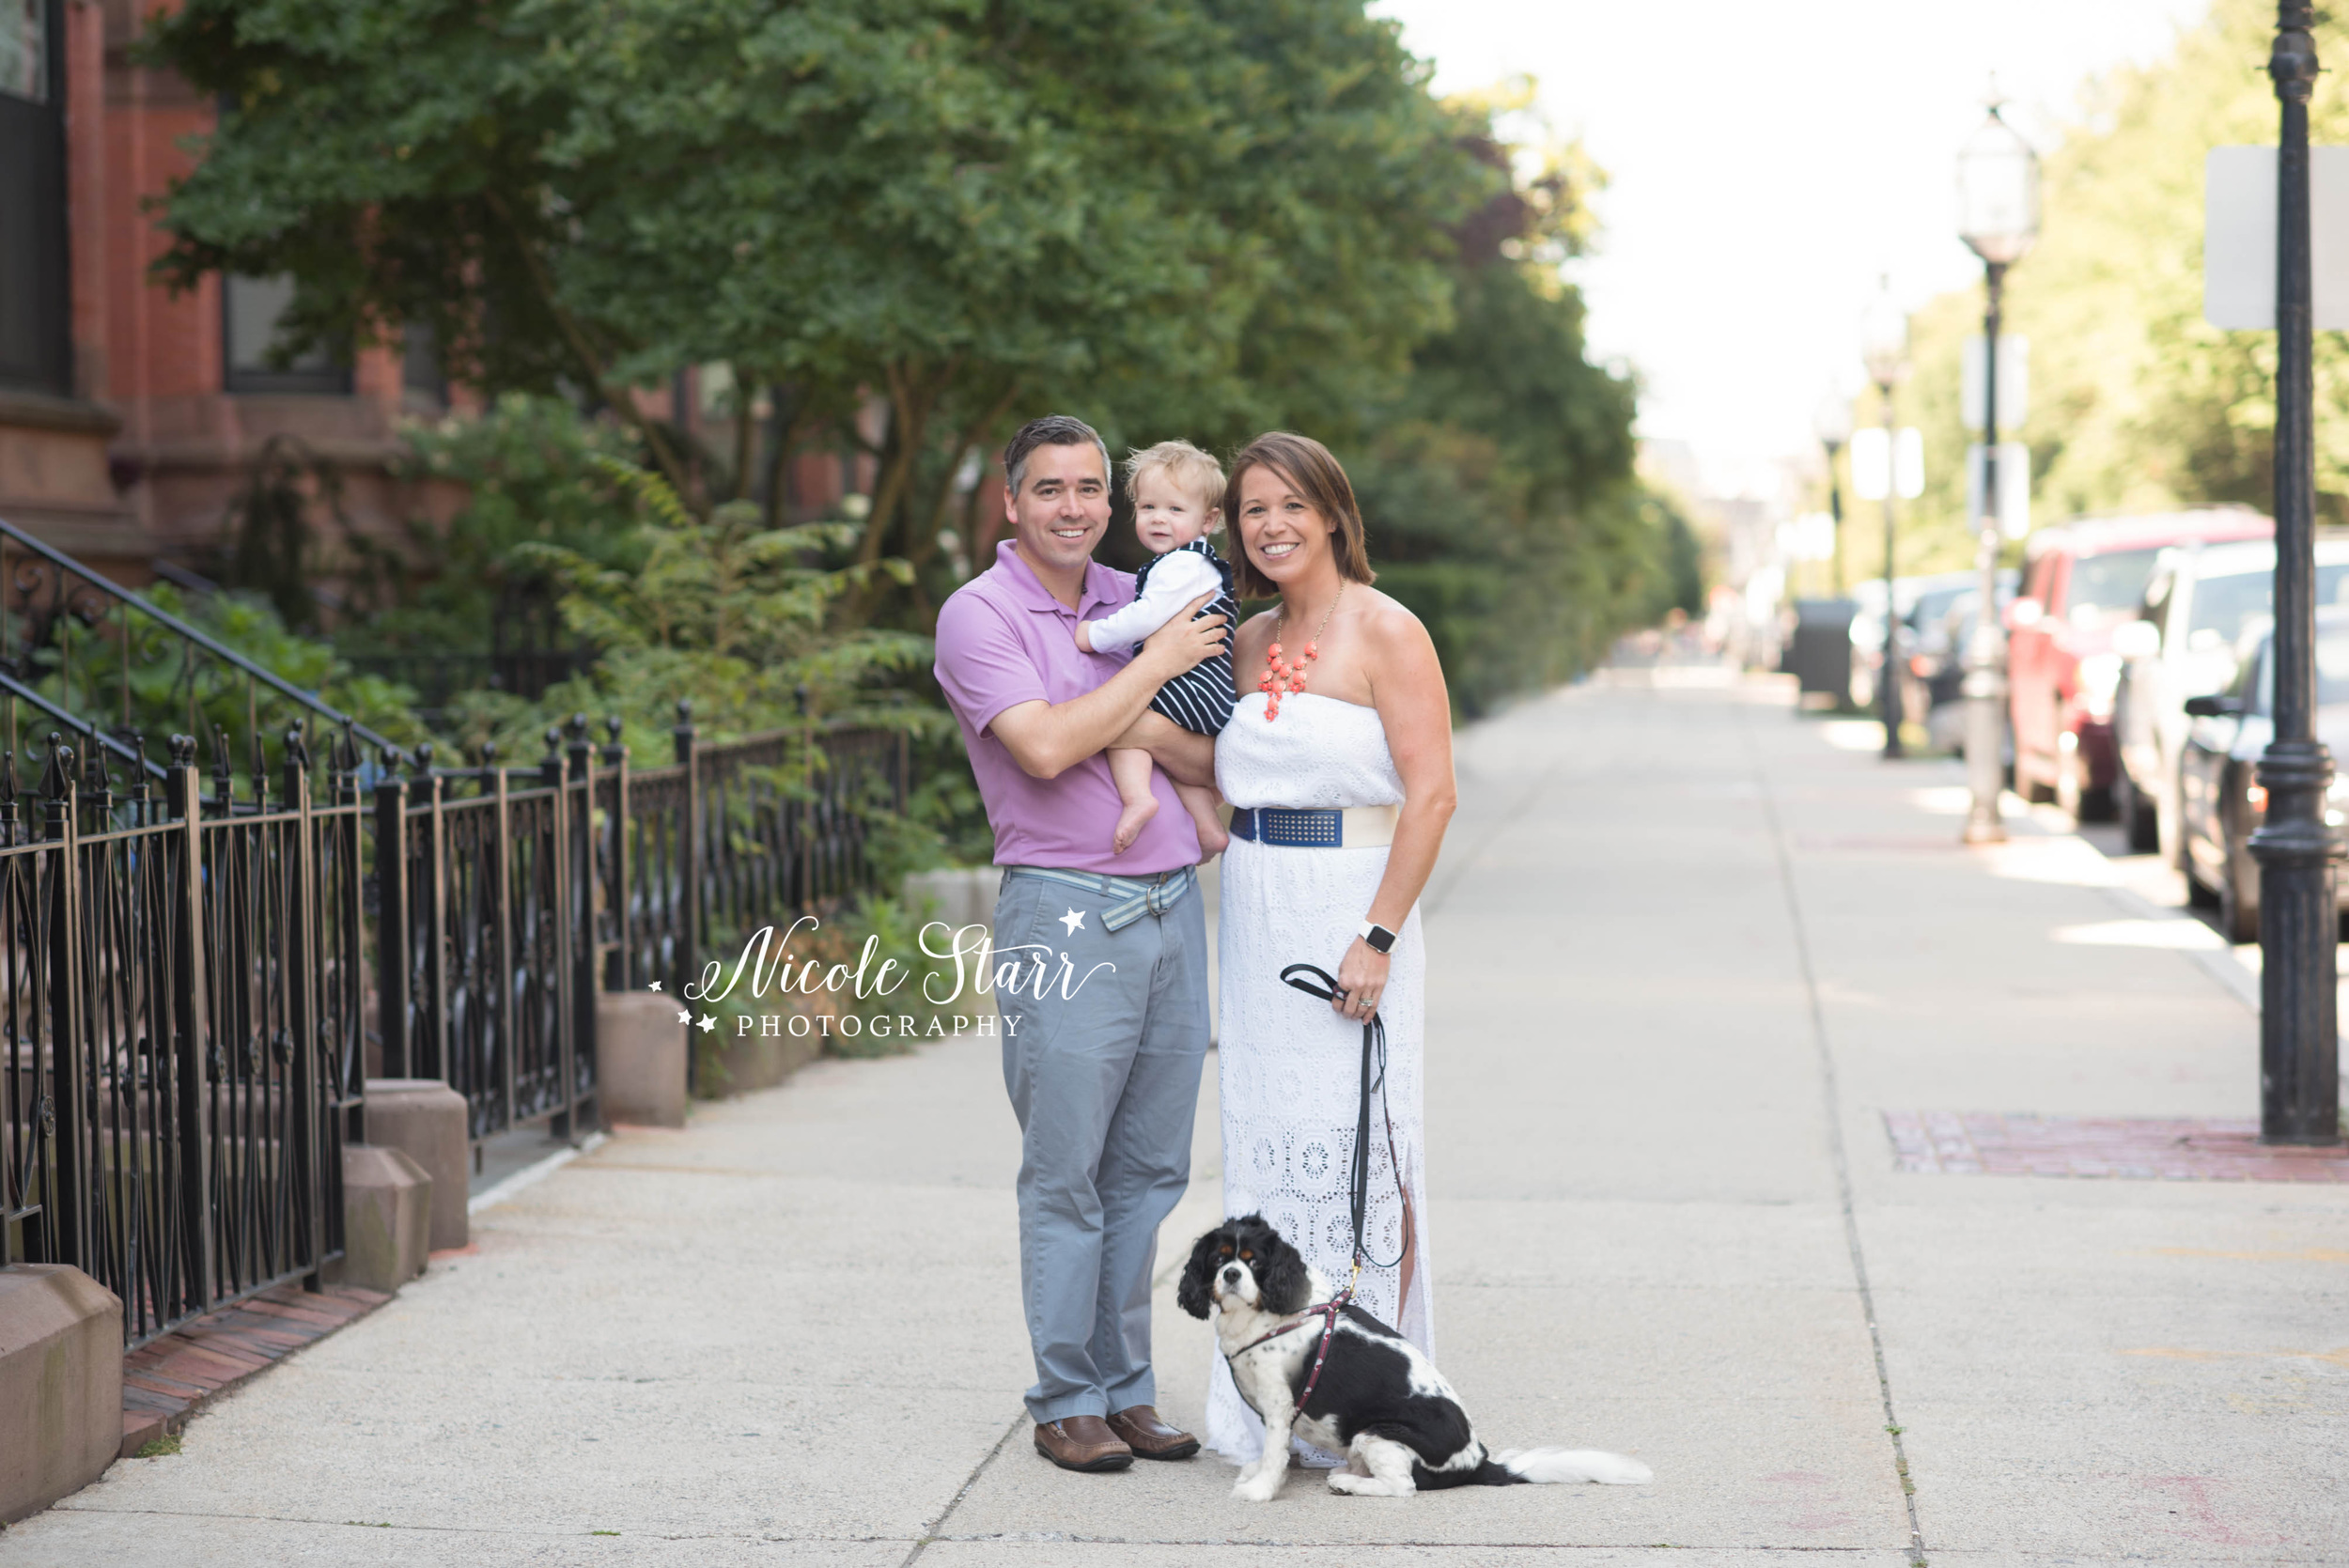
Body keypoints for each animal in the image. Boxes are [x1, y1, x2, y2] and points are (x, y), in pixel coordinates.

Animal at [1174, 1220, 1654, 1502]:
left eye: (1253, 1262)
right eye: (1218, 1258)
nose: (1230, 1275)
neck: (1264, 1313)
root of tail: (1477, 1460)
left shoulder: (1278, 1403)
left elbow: (1275, 1451)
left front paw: (1259, 1489)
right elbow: (1271, 1450)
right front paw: (1256, 1473)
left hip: (1378, 1433)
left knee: (1403, 1487)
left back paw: (1349, 1482)